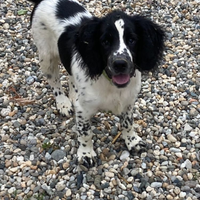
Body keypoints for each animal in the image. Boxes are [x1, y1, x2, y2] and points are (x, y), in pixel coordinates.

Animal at [28, 0, 165, 166]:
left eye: (132, 40)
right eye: (105, 41)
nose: (120, 64)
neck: (111, 84)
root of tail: (41, 1)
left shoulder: (128, 102)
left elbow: (128, 122)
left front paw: (132, 141)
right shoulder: (83, 109)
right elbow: (85, 132)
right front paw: (86, 153)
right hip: (46, 57)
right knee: (55, 83)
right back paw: (63, 103)